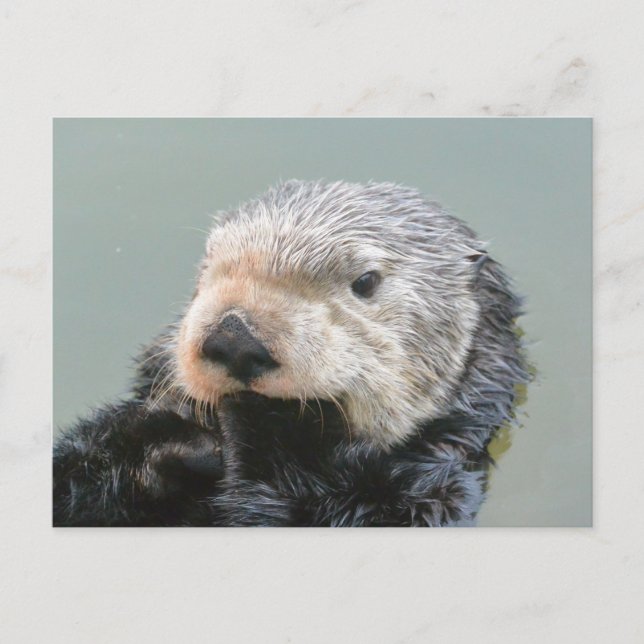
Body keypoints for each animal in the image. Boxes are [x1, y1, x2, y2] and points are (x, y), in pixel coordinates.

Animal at [53, 180, 528, 527]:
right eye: (208, 267)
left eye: (366, 281)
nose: (235, 339)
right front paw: (160, 436)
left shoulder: (430, 494)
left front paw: (275, 422)